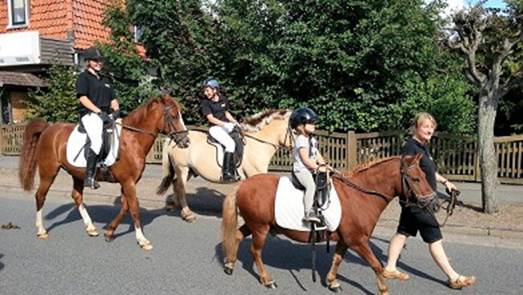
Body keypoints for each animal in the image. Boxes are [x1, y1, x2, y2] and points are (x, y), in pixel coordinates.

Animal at [19, 96, 189, 251]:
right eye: (173, 115)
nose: (186, 141)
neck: (132, 139)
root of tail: (48, 129)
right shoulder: (128, 181)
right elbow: (134, 207)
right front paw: (142, 240)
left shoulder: (127, 182)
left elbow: (125, 206)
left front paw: (109, 232)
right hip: (48, 172)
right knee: (40, 196)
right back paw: (41, 230)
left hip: (77, 174)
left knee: (77, 196)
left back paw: (90, 227)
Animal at [221, 156, 434, 294]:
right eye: (416, 178)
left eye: (424, 175)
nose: (433, 202)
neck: (360, 195)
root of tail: (244, 185)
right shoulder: (358, 241)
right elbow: (376, 264)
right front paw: (383, 290)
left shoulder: (345, 240)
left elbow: (337, 259)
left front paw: (332, 282)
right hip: (260, 228)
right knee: (256, 251)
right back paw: (267, 279)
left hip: (254, 224)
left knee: (237, 236)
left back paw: (230, 263)